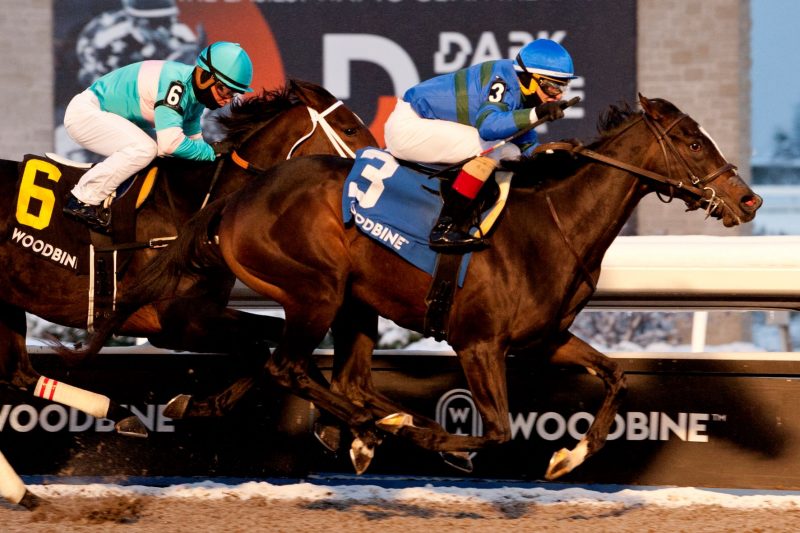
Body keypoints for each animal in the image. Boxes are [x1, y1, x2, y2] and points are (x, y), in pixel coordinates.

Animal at [0, 79, 376, 508]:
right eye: (349, 129)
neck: (199, 207)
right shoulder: (176, 321)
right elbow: (264, 348)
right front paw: (348, 426)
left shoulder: (198, 314)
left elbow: (267, 348)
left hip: (8, 301)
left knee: (18, 372)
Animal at [70, 96, 764, 482]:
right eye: (694, 142)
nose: (749, 200)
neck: (556, 224)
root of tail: (238, 196)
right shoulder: (479, 344)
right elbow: (499, 431)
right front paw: (441, 443)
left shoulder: (544, 338)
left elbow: (616, 377)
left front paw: (567, 458)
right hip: (316, 292)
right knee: (293, 366)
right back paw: (383, 426)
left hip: (348, 302)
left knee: (305, 369)